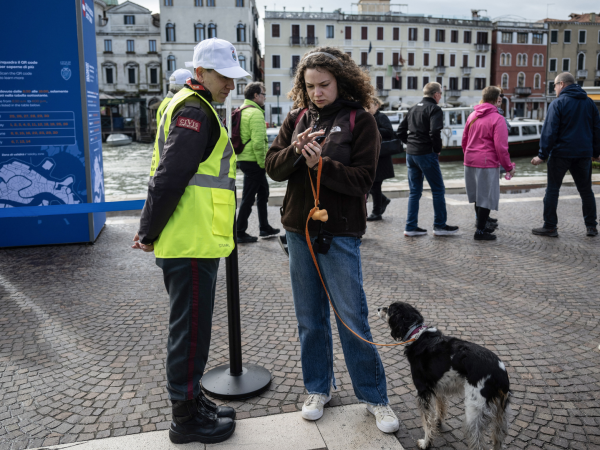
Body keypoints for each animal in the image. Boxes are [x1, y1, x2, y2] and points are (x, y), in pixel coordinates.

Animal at [378, 302, 508, 450]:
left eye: (389, 309)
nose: (378, 308)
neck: (416, 334)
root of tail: (500, 373)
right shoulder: (438, 385)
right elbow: (439, 407)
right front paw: (438, 423)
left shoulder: (422, 390)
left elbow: (427, 422)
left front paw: (426, 443)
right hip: (500, 415)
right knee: (498, 439)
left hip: (473, 413)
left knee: (478, 444)